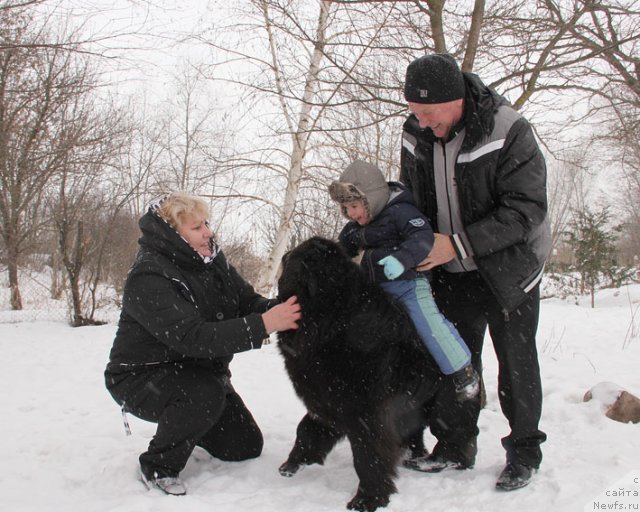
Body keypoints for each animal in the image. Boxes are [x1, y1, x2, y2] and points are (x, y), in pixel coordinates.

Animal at [278, 238, 442, 510]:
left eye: (295, 260)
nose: (285, 255)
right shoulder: (326, 399)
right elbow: (307, 429)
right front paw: (294, 464)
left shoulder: (367, 412)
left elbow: (368, 456)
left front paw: (368, 498)